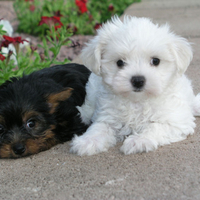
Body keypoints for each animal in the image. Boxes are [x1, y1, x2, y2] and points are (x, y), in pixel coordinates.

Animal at [70, 16, 200, 156]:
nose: (138, 80)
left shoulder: (176, 121)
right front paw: (88, 141)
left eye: (155, 61)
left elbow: (155, 127)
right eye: (120, 62)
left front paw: (138, 141)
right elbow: (99, 127)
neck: (137, 101)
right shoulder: (108, 116)